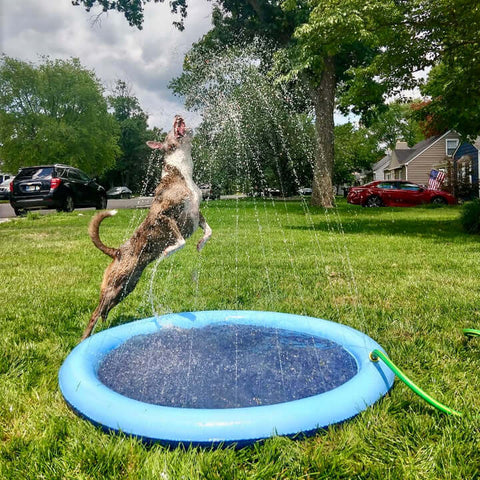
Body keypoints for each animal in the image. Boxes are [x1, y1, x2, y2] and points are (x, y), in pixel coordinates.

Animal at [81, 116, 211, 340]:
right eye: (170, 131)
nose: (178, 116)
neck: (182, 173)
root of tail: (117, 252)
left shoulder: (196, 214)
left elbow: (209, 230)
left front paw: (201, 244)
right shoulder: (164, 216)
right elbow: (180, 240)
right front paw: (168, 251)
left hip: (126, 287)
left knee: (104, 311)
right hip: (115, 285)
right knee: (94, 314)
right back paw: (85, 338)